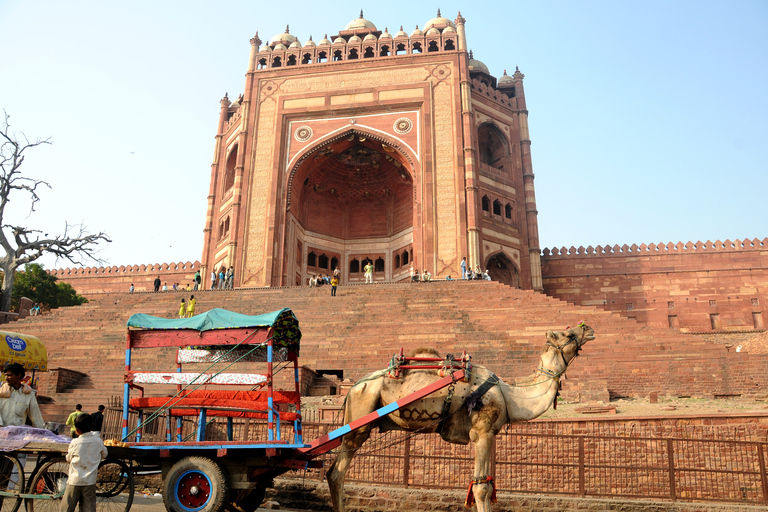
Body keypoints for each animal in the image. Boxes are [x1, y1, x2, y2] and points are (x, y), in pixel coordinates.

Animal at [324, 322, 592, 510]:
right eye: (567, 334)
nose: (588, 329)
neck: (510, 396)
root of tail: (354, 387)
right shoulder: (482, 430)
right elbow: (482, 488)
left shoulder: (488, 434)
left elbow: (486, 483)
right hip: (360, 417)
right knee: (336, 473)